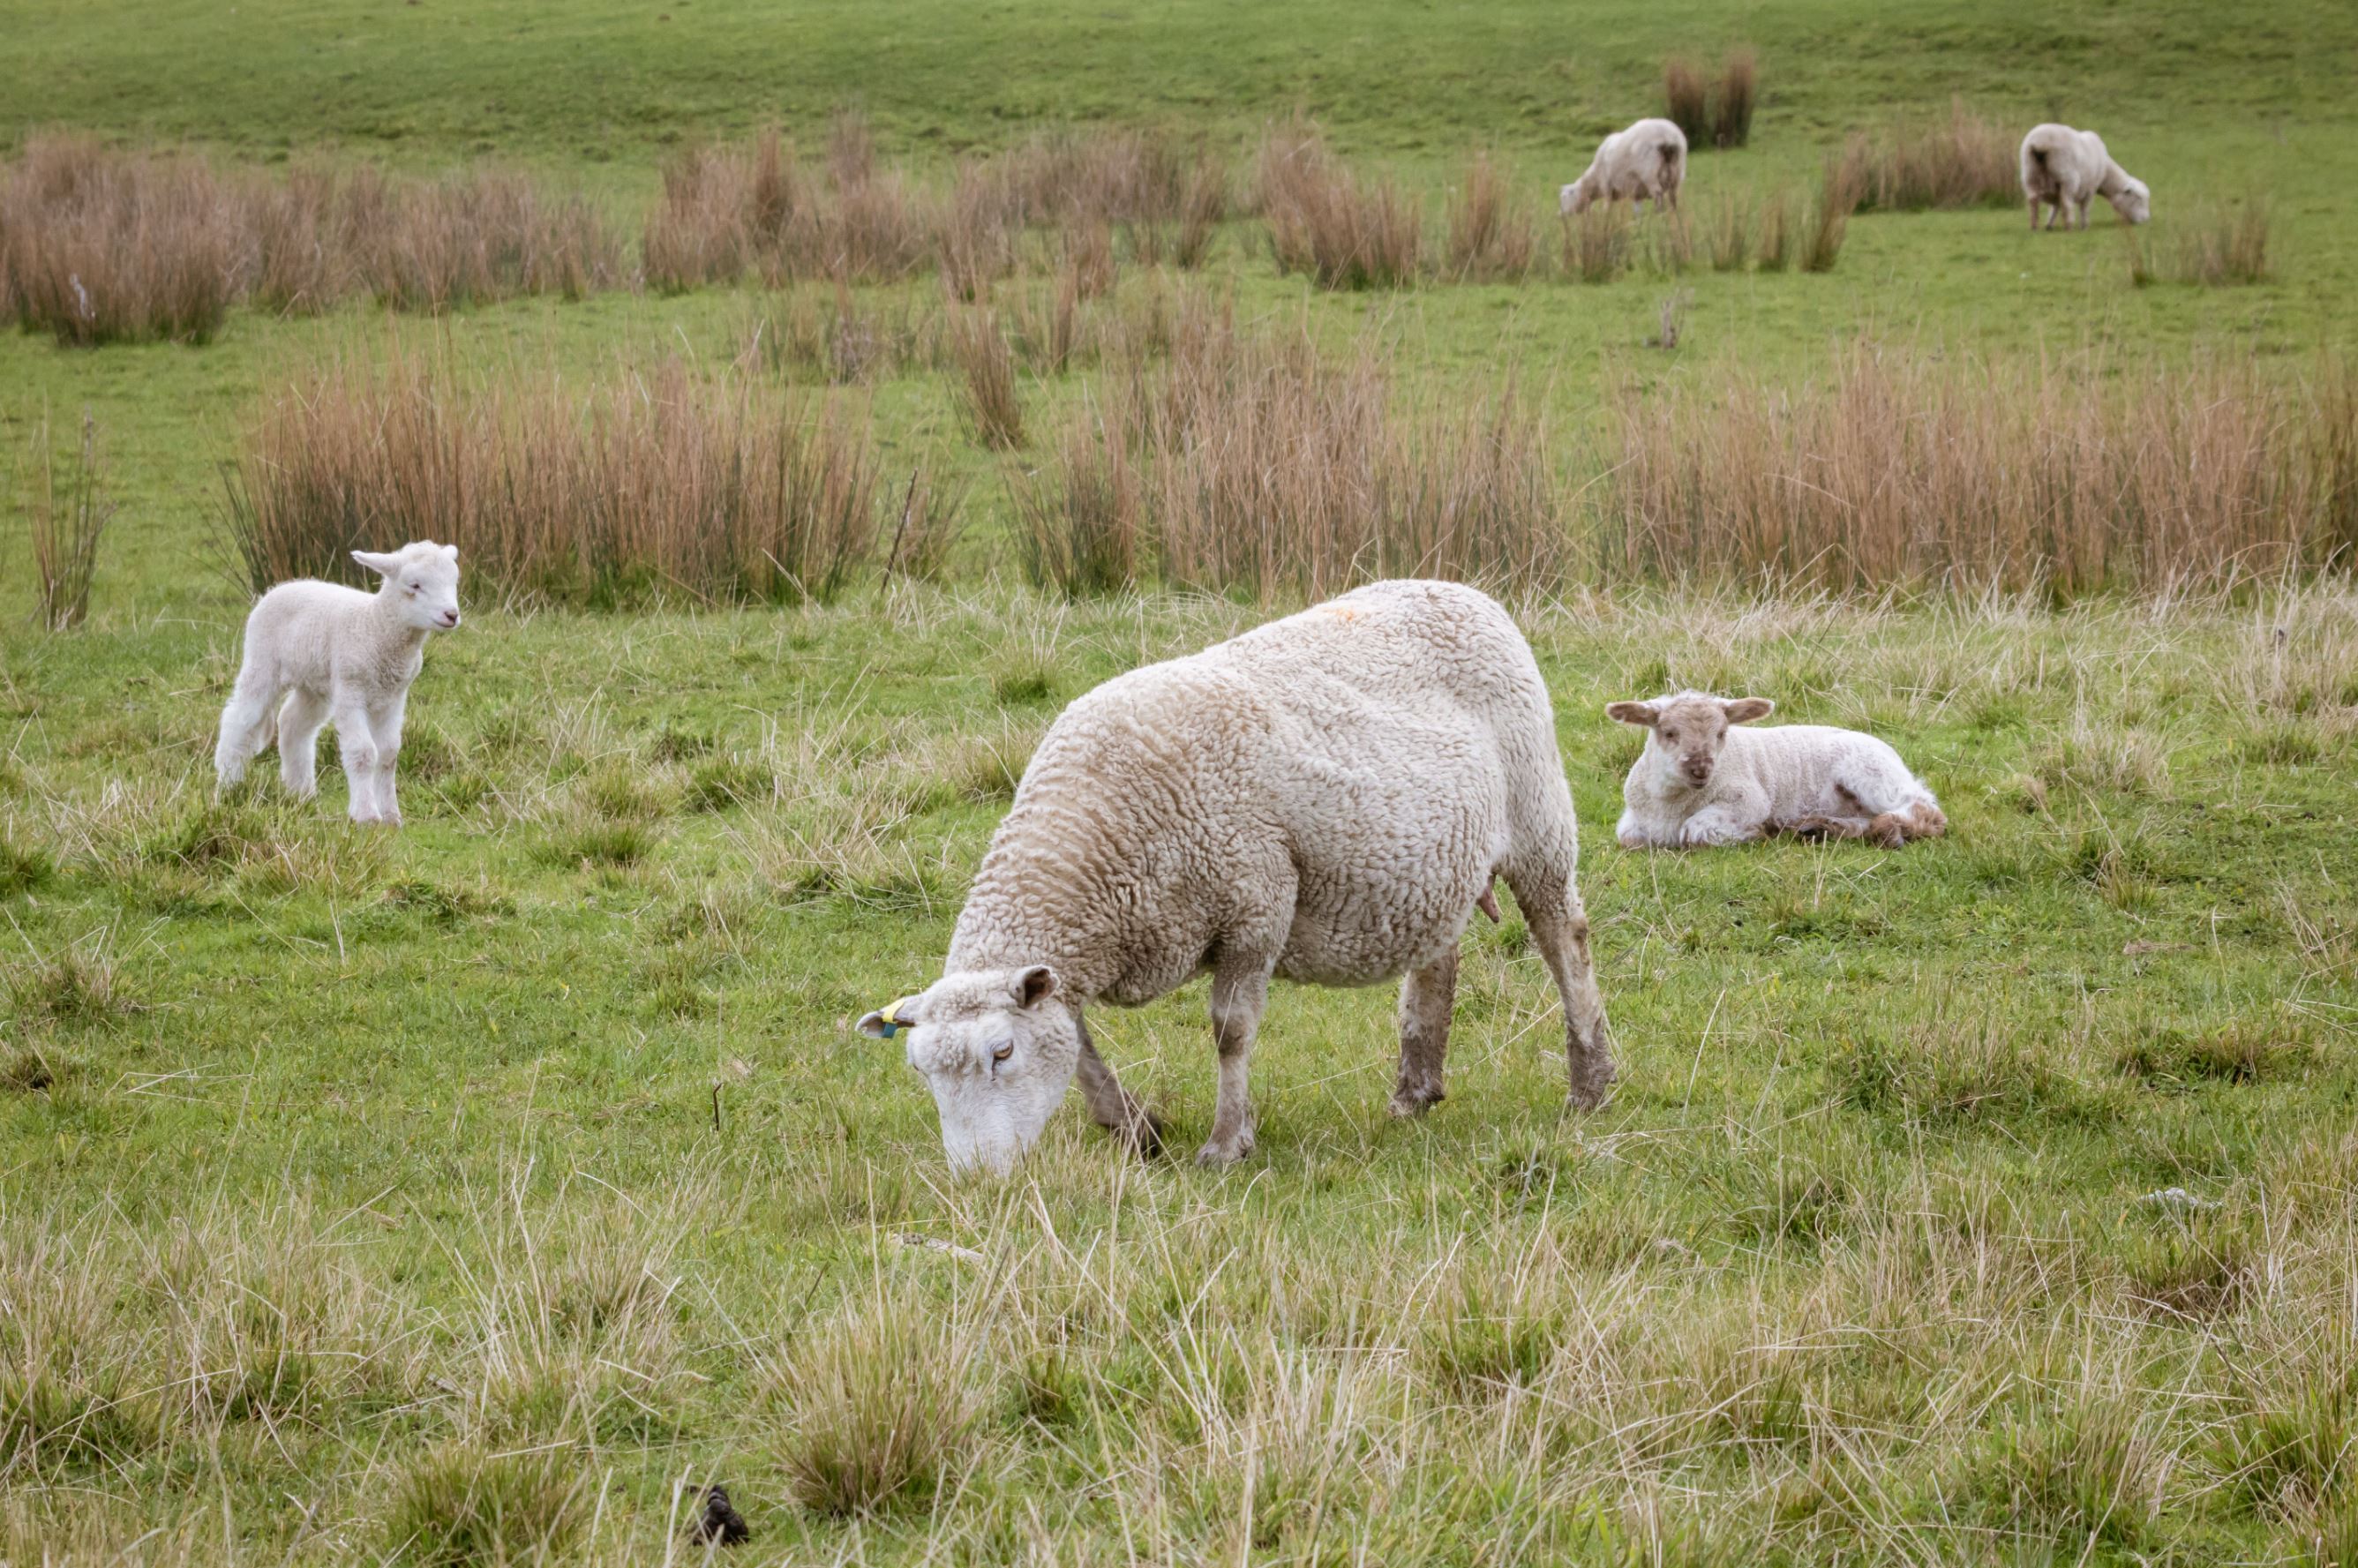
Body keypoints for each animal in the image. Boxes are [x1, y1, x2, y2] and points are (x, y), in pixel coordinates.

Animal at [216, 542, 464, 825]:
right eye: (415, 585)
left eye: (454, 581)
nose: (451, 615)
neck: (376, 627)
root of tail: (281, 586)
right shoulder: (351, 690)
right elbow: (363, 752)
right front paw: (367, 816)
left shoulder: (393, 696)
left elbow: (388, 754)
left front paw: (391, 817)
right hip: (262, 662)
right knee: (238, 719)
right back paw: (228, 787)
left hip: (314, 683)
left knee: (292, 724)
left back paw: (301, 794)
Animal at [862, 580, 1622, 1169]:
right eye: (920, 1070)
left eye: (1001, 1052)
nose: (976, 1177)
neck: (1092, 836)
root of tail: (1466, 591)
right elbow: (1078, 1041)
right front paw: (1133, 1127)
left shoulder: (1256, 906)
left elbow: (1231, 1031)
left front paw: (1227, 1143)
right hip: (1435, 857)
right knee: (1438, 959)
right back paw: (1416, 1090)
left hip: (1537, 818)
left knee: (1566, 938)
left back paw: (1591, 1084)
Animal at [1556, 117, 1688, 216]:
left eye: (1563, 197)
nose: (1560, 215)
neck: (1594, 182)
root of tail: (1667, 134)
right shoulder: (1637, 192)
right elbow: (1637, 210)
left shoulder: (1607, 186)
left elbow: (1607, 207)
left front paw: (1605, 218)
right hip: (1677, 168)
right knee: (1673, 195)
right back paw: (1673, 214)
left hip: (1649, 170)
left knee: (1658, 193)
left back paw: (1659, 215)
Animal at [1603, 693, 1952, 848]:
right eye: (1669, 733)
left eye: (1721, 733)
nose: (1701, 770)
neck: (1671, 804)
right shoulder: (1633, 821)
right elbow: (1628, 837)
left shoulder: (1748, 799)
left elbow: (1695, 831)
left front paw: (1754, 832)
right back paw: (1820, 827)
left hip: (1871, 773)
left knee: (1923, 809)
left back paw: (1889, 829)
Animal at [2018, 122, 2150, 230]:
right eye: (2138, 199)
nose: (2145, 220)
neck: (2106, 173)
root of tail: (2041, 142)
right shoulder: (2091, 187)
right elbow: (2085, 207)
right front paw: (2085, 225)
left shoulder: (2056, 189)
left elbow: (2054, 206)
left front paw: (2049, 225)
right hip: (2066, 178)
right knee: (2066, 202)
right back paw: (2069, 225)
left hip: (2030, 175)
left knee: (2033, 200)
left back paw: (2034, 226)